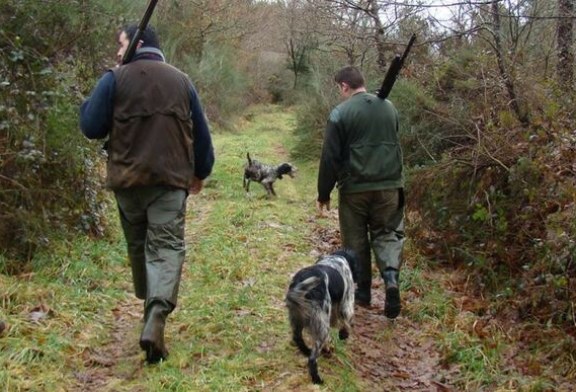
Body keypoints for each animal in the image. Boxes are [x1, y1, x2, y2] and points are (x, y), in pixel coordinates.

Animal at [284, 250, 356, 384]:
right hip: (321, 324)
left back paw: (307, 351)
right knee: (313, 358)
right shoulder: (346, 303)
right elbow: (346, 322)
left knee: (298, 339)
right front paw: (343, 335)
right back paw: (317, 378)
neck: (336, 259)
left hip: (297, 318)